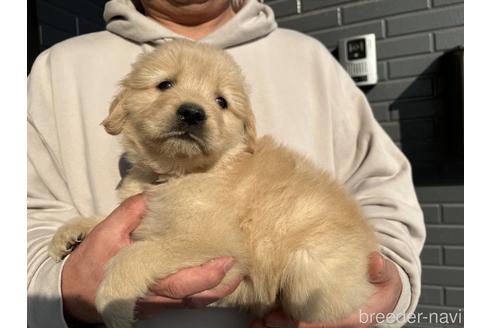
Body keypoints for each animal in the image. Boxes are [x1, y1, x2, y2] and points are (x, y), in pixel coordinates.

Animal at [49, 40, 376, 328]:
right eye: (165, 85)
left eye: (222, 102)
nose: (192, 113)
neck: (178, 174)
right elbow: (107, 220)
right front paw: (72, 232)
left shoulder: (214, 242)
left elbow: (135, 255)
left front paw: (113, 303)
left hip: (308, 269)